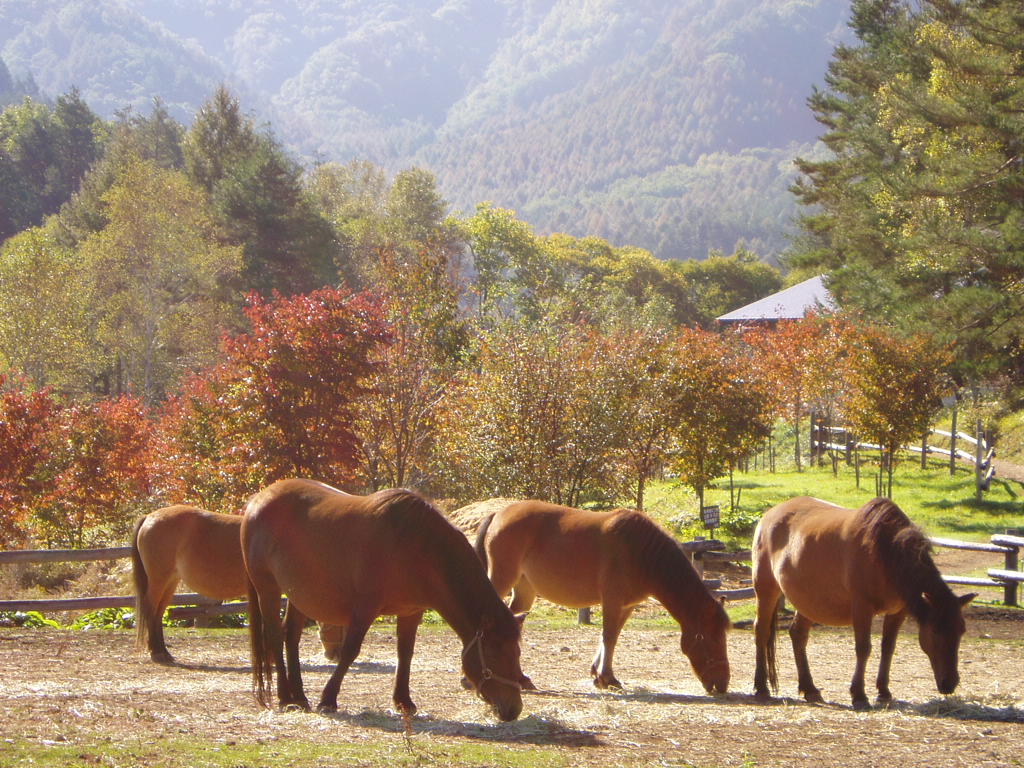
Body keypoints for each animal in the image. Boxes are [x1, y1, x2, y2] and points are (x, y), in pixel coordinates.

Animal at [242, 479, 524, 724]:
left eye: (517, 652)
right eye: (495, 652)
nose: (513, 709)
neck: (417, 546)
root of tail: (257, 501)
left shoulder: (411, 612)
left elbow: (405, 653)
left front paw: (404, 701)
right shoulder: (365, 609)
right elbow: (350, 652)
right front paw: (328, 699)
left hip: (299, 595)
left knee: (291, 637)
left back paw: (300, 697)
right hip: (268, 589)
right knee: (275, 636)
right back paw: (285, 697)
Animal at [475, 501, 733, 696]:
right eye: (710, 639)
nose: (722, 684)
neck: (640, 553)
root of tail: (498, 514)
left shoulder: (626, 606)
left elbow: (613, 637)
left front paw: (598, 674)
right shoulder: (612, 601)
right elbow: (608, 636)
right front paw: (606, 677)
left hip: (525, 591)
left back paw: (520, 678)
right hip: (502, 580)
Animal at [753, 499, 974, 708]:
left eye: (961, 630)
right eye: (936, 631)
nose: (950, 683)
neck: (885, 551)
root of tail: (769, 516)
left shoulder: (898, 611)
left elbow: (888, 647)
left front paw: (883, 692)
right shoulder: (862, 607)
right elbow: (863, 648)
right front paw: (859, 695)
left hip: (808, 602)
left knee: (798, 634)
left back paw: (810, 689)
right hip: (767, 590)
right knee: (761, 631)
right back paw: (761, 687)